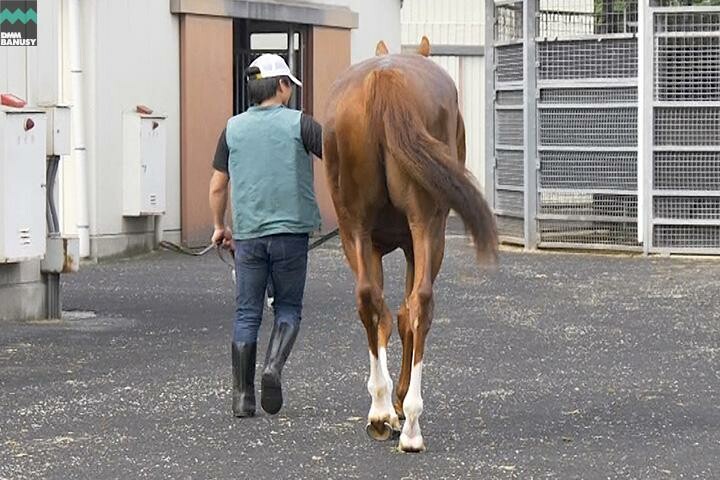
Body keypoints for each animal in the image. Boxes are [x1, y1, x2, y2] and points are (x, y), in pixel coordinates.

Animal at [320, 36, 496, 450]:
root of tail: (385, 78)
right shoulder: (417, 246)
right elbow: (402, 316)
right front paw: (399, 403)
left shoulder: (370, 244)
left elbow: (385, 314)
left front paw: (387, 404)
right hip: (428, 227)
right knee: (420, 305)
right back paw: (411, 420)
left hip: (354, 228)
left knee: (369, 300)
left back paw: (381, 410)